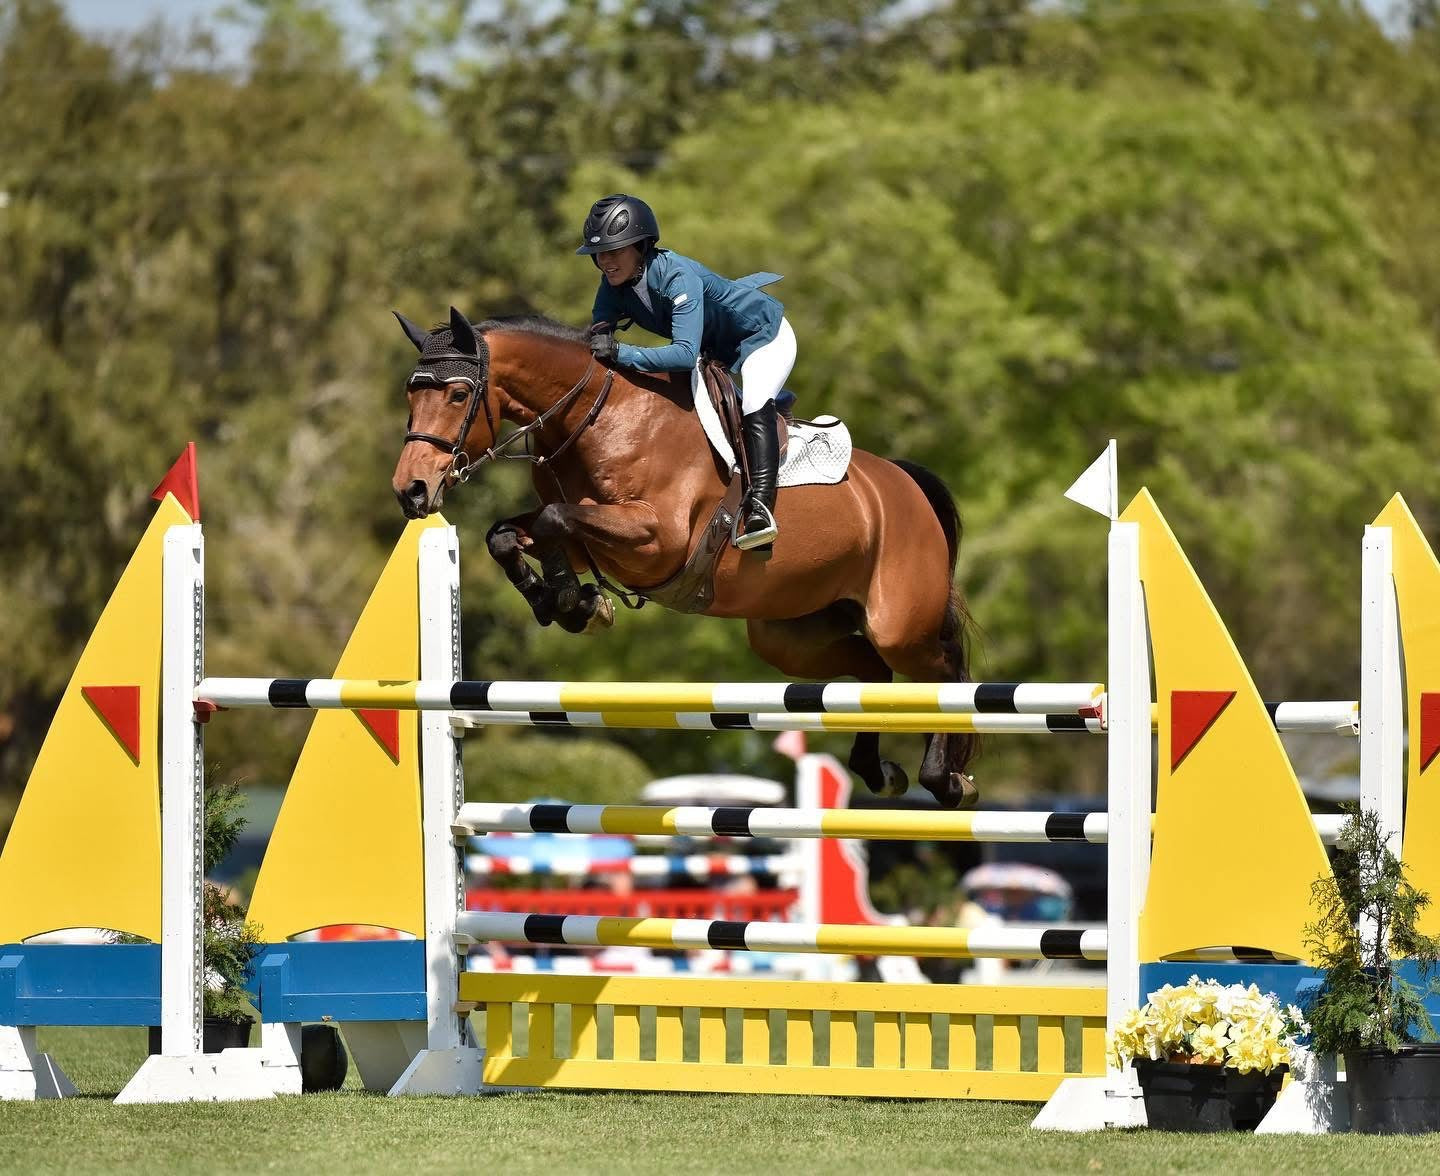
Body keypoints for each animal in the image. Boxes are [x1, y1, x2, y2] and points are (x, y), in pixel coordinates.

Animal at [390, 306, 980, 808]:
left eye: (458, 394)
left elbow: (556, 517)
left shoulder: (657, 539)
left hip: (898, 623)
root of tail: (904, 482)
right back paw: (879, 771)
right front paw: (567, 603)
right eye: (411, 395)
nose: (411, 491)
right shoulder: (592, 539)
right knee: (872, 670)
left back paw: (947, 780)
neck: (596, 417)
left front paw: (575, 602)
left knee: (945, 669)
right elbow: (507, 535)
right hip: (792, 635)